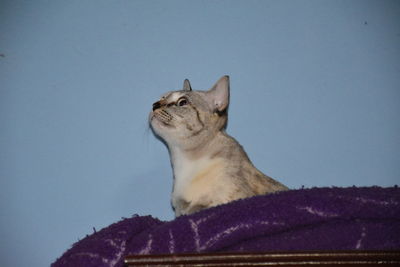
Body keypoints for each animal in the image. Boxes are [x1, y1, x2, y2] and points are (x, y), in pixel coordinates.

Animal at [150, 76, 288, 218]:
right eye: (162, 97)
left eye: (182, 102)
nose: (154, 105)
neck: (182, 162)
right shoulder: (179, 210)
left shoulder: (225, 199)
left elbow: (199, 207)